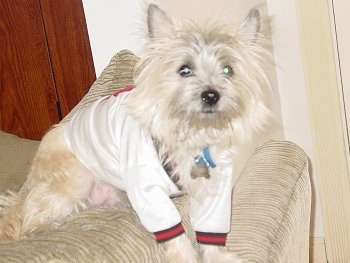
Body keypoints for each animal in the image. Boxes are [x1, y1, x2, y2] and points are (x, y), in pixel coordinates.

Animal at [0, 4, 270, 263]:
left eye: (228, 70)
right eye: (184, 70)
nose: (211, 95)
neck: (191, 132)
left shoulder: (214, 192)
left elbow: (211, 236)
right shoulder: (149, 192)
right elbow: (175, 236)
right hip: (74, 181)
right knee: (30, 217)